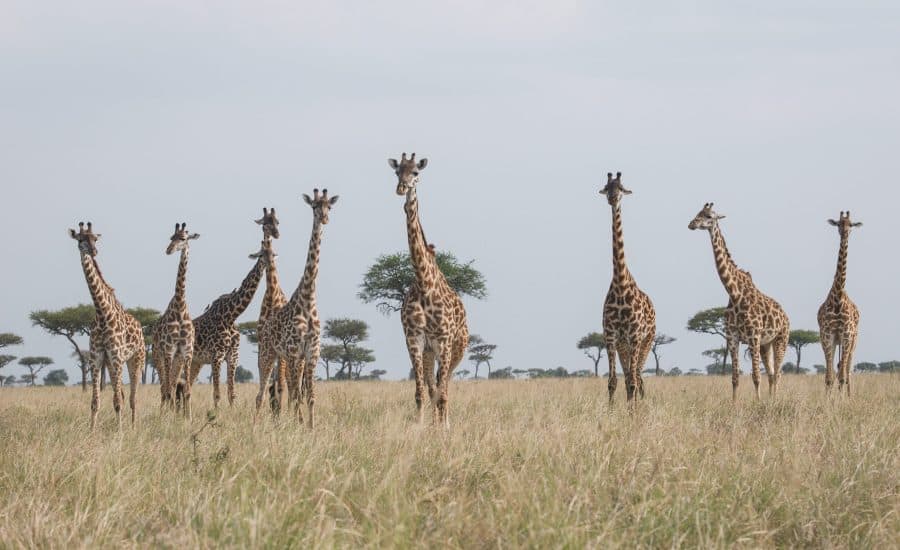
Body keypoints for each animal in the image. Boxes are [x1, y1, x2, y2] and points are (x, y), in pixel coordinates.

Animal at [69, 222, 145, 429]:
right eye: (81, 239)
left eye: (95, 238)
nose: (94, 251)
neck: (102, 313)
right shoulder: (96, 359)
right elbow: (95, 402)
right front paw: (92, 431)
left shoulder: (117, 357)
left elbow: (118, 401)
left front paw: (119, 433)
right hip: (111, 364)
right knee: (123, 395)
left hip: (136, 359)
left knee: (133, 398)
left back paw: (133, 427)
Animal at [255, 189, 338, 428]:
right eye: (314, 206)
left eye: (330, 206)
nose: (324, 218)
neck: (308, 298)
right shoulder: (293, 351)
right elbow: (294, 394)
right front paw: (296, 425)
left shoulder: (312, 352)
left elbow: (309, 396)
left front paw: (310, 427)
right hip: (267, 354)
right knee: (261, 393)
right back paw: (254, 426)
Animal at [388, 153, 469, 427]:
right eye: (397, 171)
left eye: (415, 172)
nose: (401, 188)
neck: (423, 282)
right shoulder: (415, 339)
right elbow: (421, 392)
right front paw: (421, 425)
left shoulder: (443, 340)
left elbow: (441, 391)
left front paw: (442, 428)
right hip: (429, 352)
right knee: (433, 385)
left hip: (457, 348)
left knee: (447, 385)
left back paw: (445, 421)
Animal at [689, 203, 790, 401]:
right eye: (698, 213)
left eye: (709, 216)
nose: (692, 224)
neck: (735, 294)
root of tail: (785, 315)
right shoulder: (732, 336)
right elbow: (735, 377)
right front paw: (734, 405)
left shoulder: (753, 335)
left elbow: (756, 376)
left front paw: (758, 403)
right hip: (766, 344)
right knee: (771, 373)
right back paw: (771, 400)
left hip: (781, 339)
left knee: (778, 373)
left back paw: (773, 400)